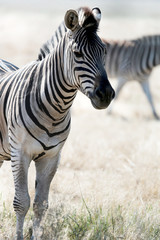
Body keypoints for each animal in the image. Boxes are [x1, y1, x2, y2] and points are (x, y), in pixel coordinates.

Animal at [0, 6, 115, 239]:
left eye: (104, 52)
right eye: (77, 53)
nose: (106, 94)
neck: (55, 109)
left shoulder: (52, 157)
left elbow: (40, 205)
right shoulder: (20, 153)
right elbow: (21, 202)